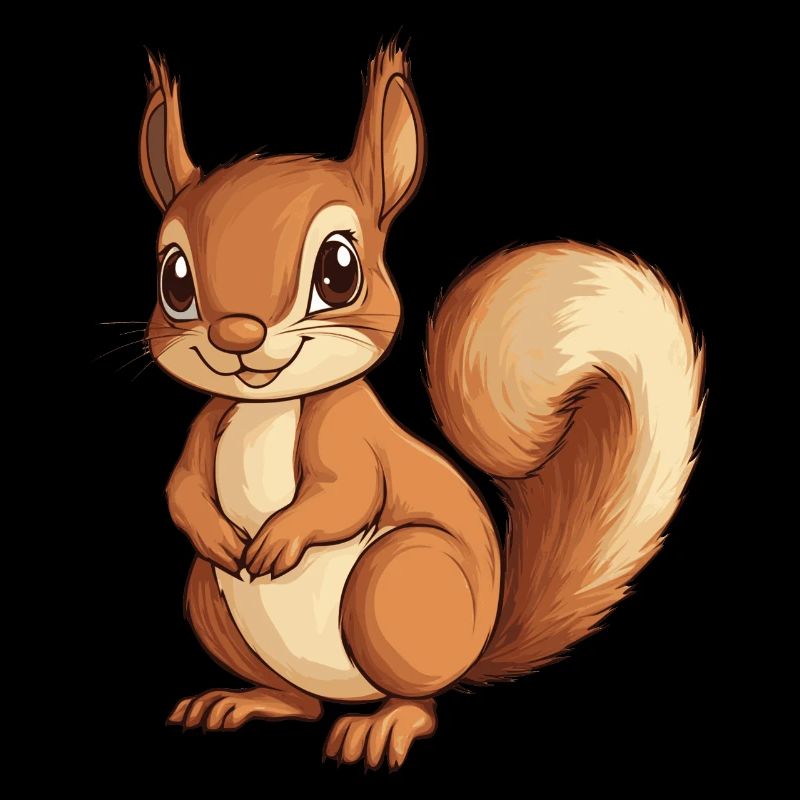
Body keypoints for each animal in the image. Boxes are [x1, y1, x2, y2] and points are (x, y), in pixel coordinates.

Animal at [137, 44, 704, 769]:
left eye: (339, 270)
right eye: (173, 279)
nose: (236, 337)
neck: (270, 408)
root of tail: (471, 655)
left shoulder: (348, 435)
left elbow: (346, 493)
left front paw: (279, 540)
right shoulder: (207, 423)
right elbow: (180, 487)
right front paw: (215, 531)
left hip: (396, 581)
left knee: (420, 700)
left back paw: (383, 726)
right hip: (208, 596)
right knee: (299, 699)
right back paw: (247, 701)